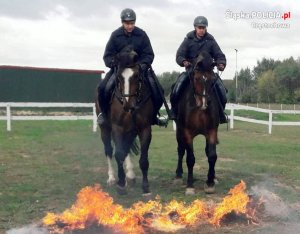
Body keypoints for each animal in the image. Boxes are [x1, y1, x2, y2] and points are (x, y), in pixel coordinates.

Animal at [95, 46, 154, 196]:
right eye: (119, 77)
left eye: (137, 76)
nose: (128, 105)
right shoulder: (118, 127)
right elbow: (118, 154)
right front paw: (121, 184)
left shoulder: (144, 128)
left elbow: (143, 159)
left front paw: (145, 187)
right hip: (105, 129)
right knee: (109, 150)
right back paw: (112, 178)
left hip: (130, 131)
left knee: (126, 148)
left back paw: (130, 175)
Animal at [173, 51, 220, 196]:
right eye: (196, 78)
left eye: (212, 79)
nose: (204, 103)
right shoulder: (187, 133)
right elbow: (190, 158)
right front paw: (190, 185)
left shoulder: (212, 131)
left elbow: (212, 156)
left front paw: (210, 183)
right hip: (179, 131)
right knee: (180, 150)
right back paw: (178, 176)